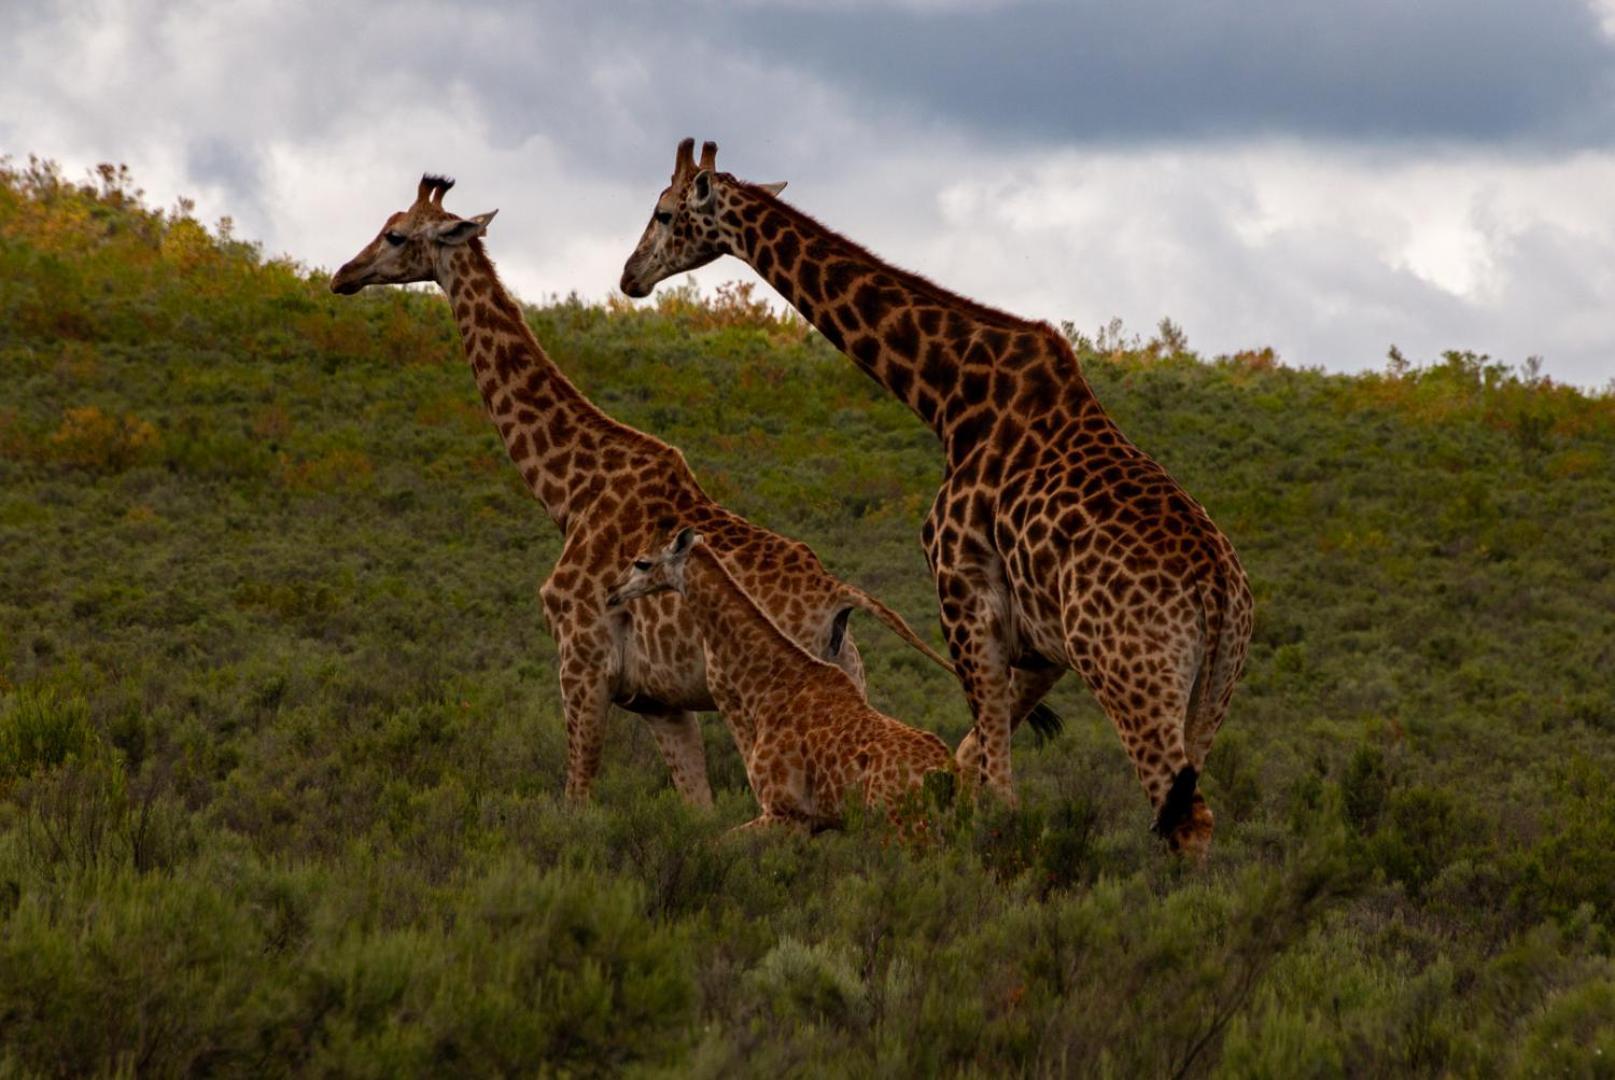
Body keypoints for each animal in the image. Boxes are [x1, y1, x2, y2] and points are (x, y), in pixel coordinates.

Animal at [607, 526, 956, 833]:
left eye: (642, 562)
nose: (612, 591)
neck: (768, 685)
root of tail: (944, 772)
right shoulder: (814, 821)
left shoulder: (784, 812)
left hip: (903, 826)